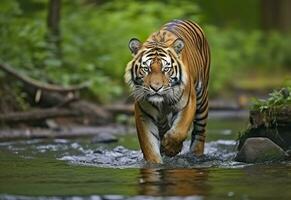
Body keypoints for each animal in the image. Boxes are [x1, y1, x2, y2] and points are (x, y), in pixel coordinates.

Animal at [124, 19, 211, 163]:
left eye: (166, 69)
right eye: (146, 69)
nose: (156, 88)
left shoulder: (188, 103)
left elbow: (179, 131)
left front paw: (171, 148)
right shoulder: (144, 114)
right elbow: (149, 145)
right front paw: (156, 161)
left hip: (202, 99)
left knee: (200, 131)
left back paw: (196, 154)